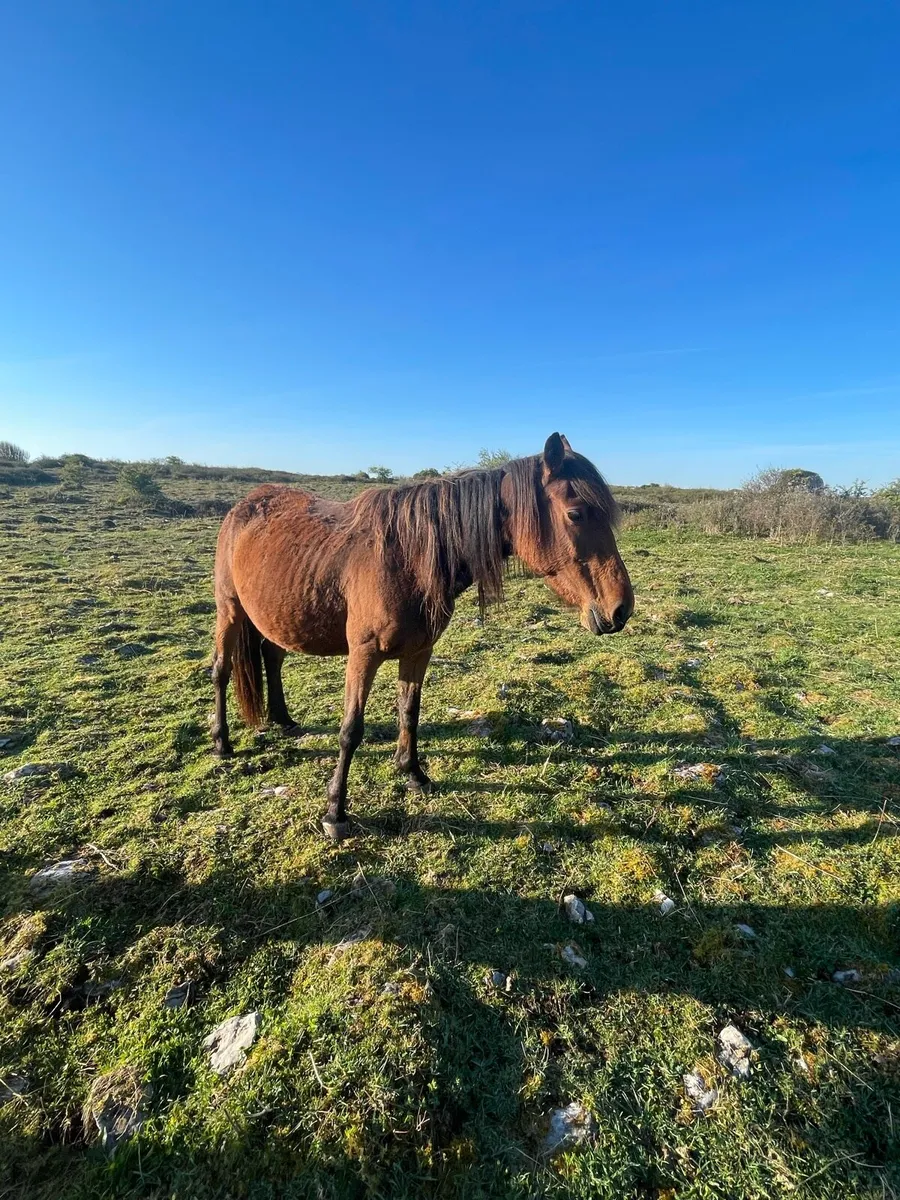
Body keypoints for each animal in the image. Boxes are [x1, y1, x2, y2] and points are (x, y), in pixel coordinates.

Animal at [211, 433, 634, 840]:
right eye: (575, 513)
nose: (621, 609)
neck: (407, 559)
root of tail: (243, 506)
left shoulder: (418, 652)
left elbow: (409, 712)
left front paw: (413, 773)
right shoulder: (363, 655)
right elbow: (351, 730)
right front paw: (335, 812)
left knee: (272, 657)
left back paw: (282, 719)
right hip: (229, 611)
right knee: (221, 671)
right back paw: (221, 743)